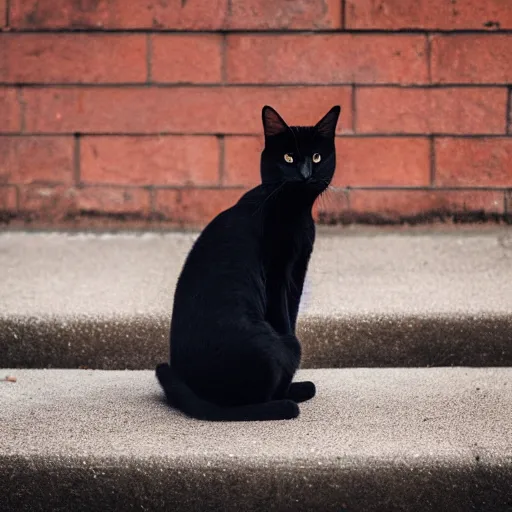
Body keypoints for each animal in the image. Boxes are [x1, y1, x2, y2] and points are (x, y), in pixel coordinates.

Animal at [156, 104, 340, 420]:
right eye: (288, 158)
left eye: (317, 157)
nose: (305, 174)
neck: (296, 213)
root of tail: (202, 397)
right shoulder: (278, 272)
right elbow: (286, 322)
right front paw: (291, 386)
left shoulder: (298, 271)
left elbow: (292, 314)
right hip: (269, 346)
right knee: (250, 400)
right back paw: (288, 399)